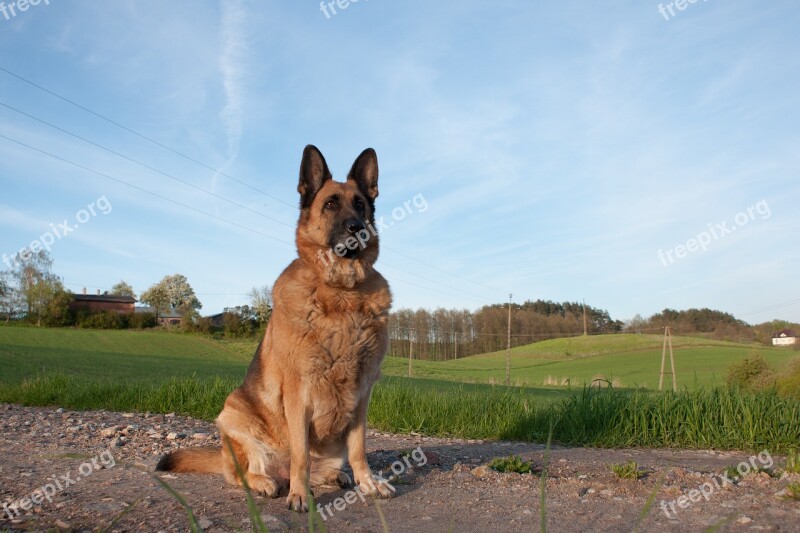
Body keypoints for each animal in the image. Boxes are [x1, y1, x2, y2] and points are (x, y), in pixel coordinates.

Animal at [156, 145, 394, 512]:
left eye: (360, 205)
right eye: (330, 204)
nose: (358, 228)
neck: (342, 293)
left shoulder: (362, 393)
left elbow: (359, 450)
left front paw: (368, 482)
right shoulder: (299, 394)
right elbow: (301, 457)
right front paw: (300, 495)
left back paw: (333, 476)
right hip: (234, 413)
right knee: (242, 473)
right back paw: (267, 482)